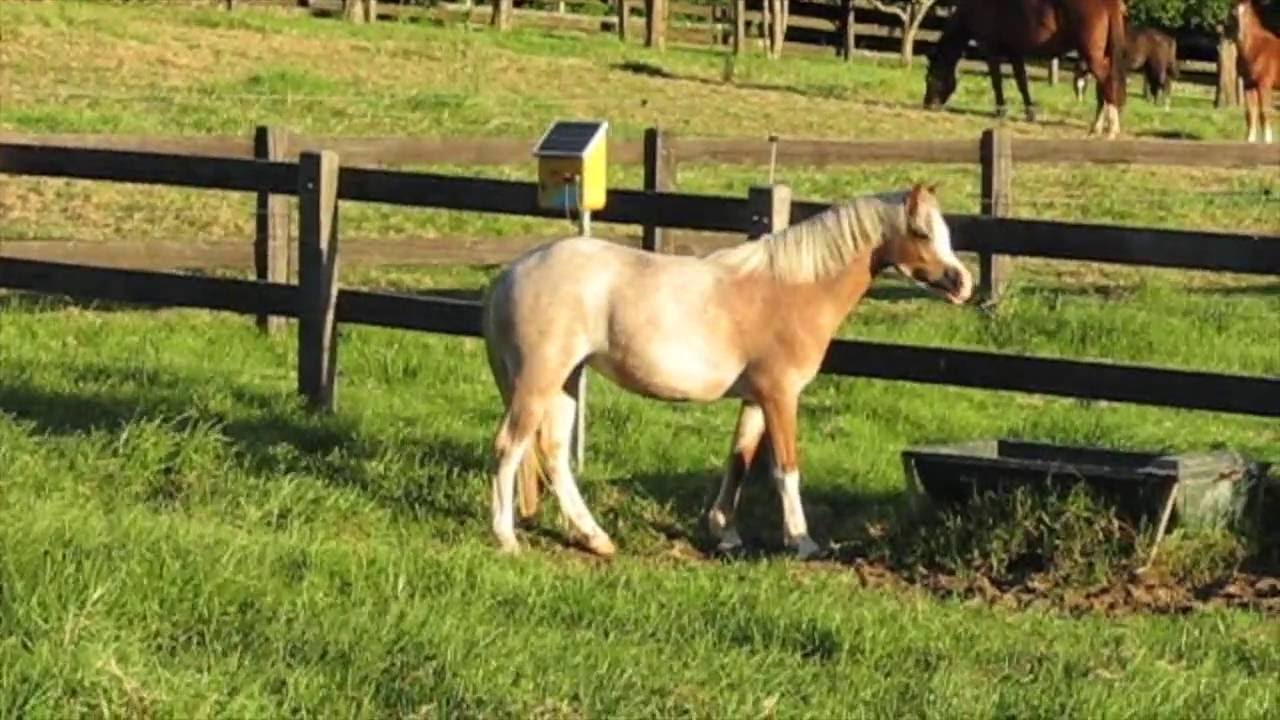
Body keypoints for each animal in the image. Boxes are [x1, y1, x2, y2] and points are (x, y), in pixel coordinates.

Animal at [481, 185, 973, 559]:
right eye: (922, 231)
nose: (962, 283)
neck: (793, 289)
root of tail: (511, 273)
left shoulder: (756, 398)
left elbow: (738, 460)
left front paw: (725, 533)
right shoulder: (780, 395)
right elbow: (786, 469)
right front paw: (802, 542)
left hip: (566, 380)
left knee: (553, 452)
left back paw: (596, 538)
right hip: (540, 380)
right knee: (509, 446)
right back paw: (507, 539)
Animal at [924, 0, 1128, 139]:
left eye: (929, 78)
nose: (928, 105)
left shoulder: (990, 50)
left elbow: (996, 81)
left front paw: (1001, 110)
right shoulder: (1015, 53)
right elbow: (1021, 81)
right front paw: (1030, 113)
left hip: (1092, 56)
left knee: (1107, 83)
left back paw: (1112, 129)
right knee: (1103, 87)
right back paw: (1096, 127)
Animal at [1228, 0, 1280, 143]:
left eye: (1248, 14)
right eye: (1232, 14)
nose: (1239, 37)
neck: (1257, 49)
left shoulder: (1264, 85)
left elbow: (1264, 112)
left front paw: (1267, 140)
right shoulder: (1249, 85)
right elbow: (1251, 113)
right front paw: (1249, 140)